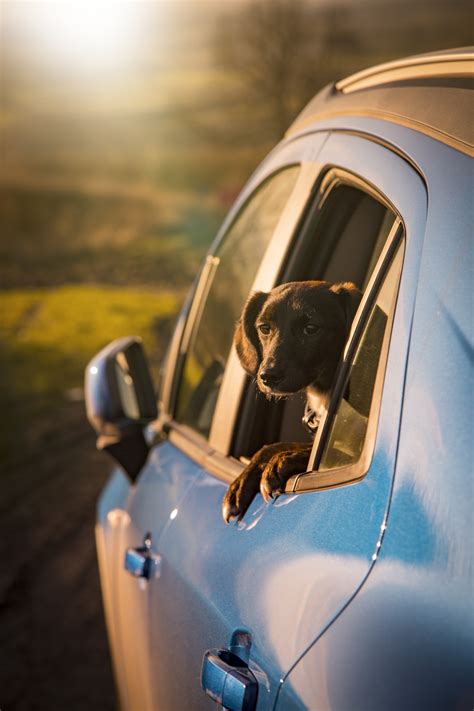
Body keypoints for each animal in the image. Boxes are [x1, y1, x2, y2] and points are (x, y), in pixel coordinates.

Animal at [221, 280, 360, 524]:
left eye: (311, 328)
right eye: (264, 328)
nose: (267, 376)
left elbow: (308, 452)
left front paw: (279, 463)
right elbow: (271, 446)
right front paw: (240, 485)